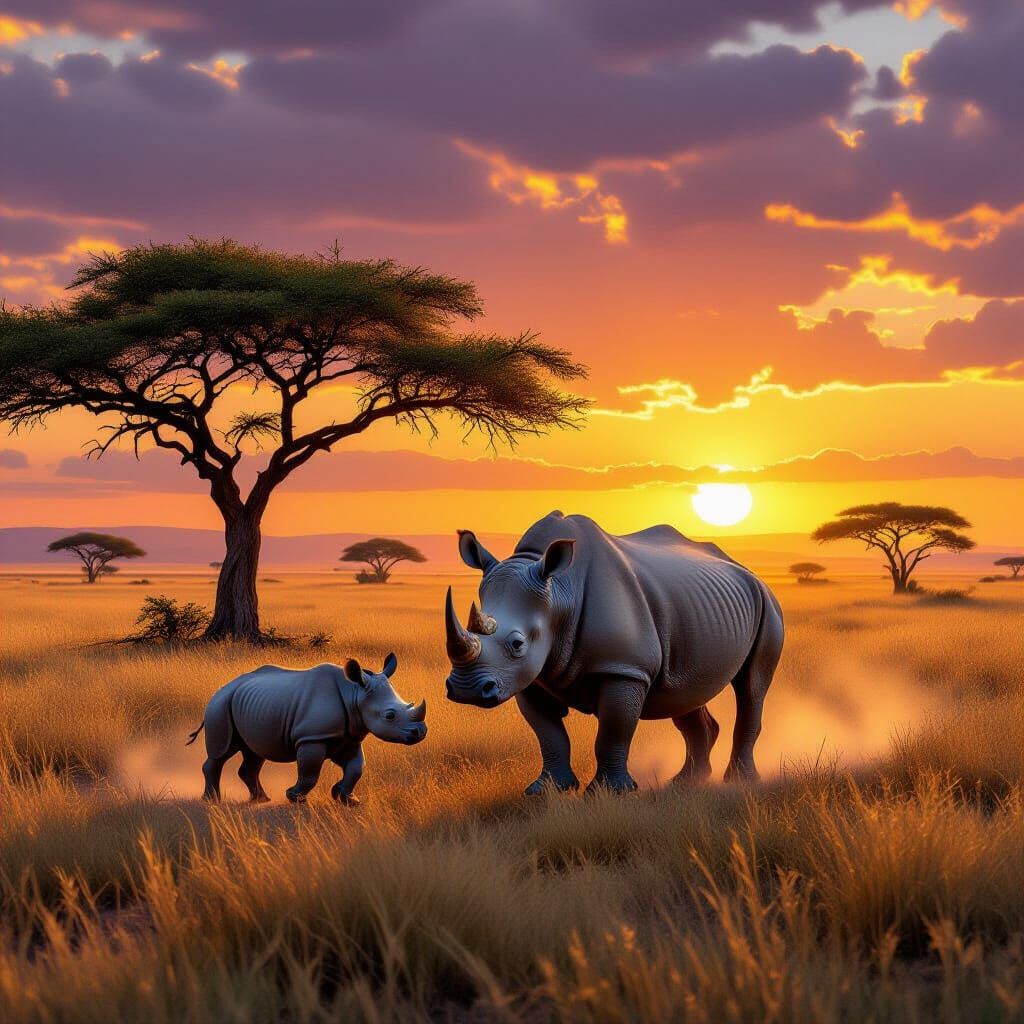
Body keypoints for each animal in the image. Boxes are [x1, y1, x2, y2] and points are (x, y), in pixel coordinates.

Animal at [186, 653, 427, 804]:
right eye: (389, 716)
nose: (420, 733)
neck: (355, 694)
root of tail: (222, 688)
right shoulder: (312, 737)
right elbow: (310, 771)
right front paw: (295, 798)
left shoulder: (348, 737)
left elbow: (356, 767)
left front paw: (347, 799)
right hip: (219, 706)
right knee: (221, 752)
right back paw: (212, 801)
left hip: (249, 706)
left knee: (253, 752)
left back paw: (261, 799)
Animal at [444, 512, 784, 794]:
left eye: (517, 644)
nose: (465, 690)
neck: (559, 594)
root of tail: (749, 571)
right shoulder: (528, 676)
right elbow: (549, 734)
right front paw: (546, 790)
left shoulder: (623, 668)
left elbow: (613, 731)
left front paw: (608, 792)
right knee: (685, 692)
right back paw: (685, 782)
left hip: (768, 606)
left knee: (752, 687)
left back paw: (740, 781)